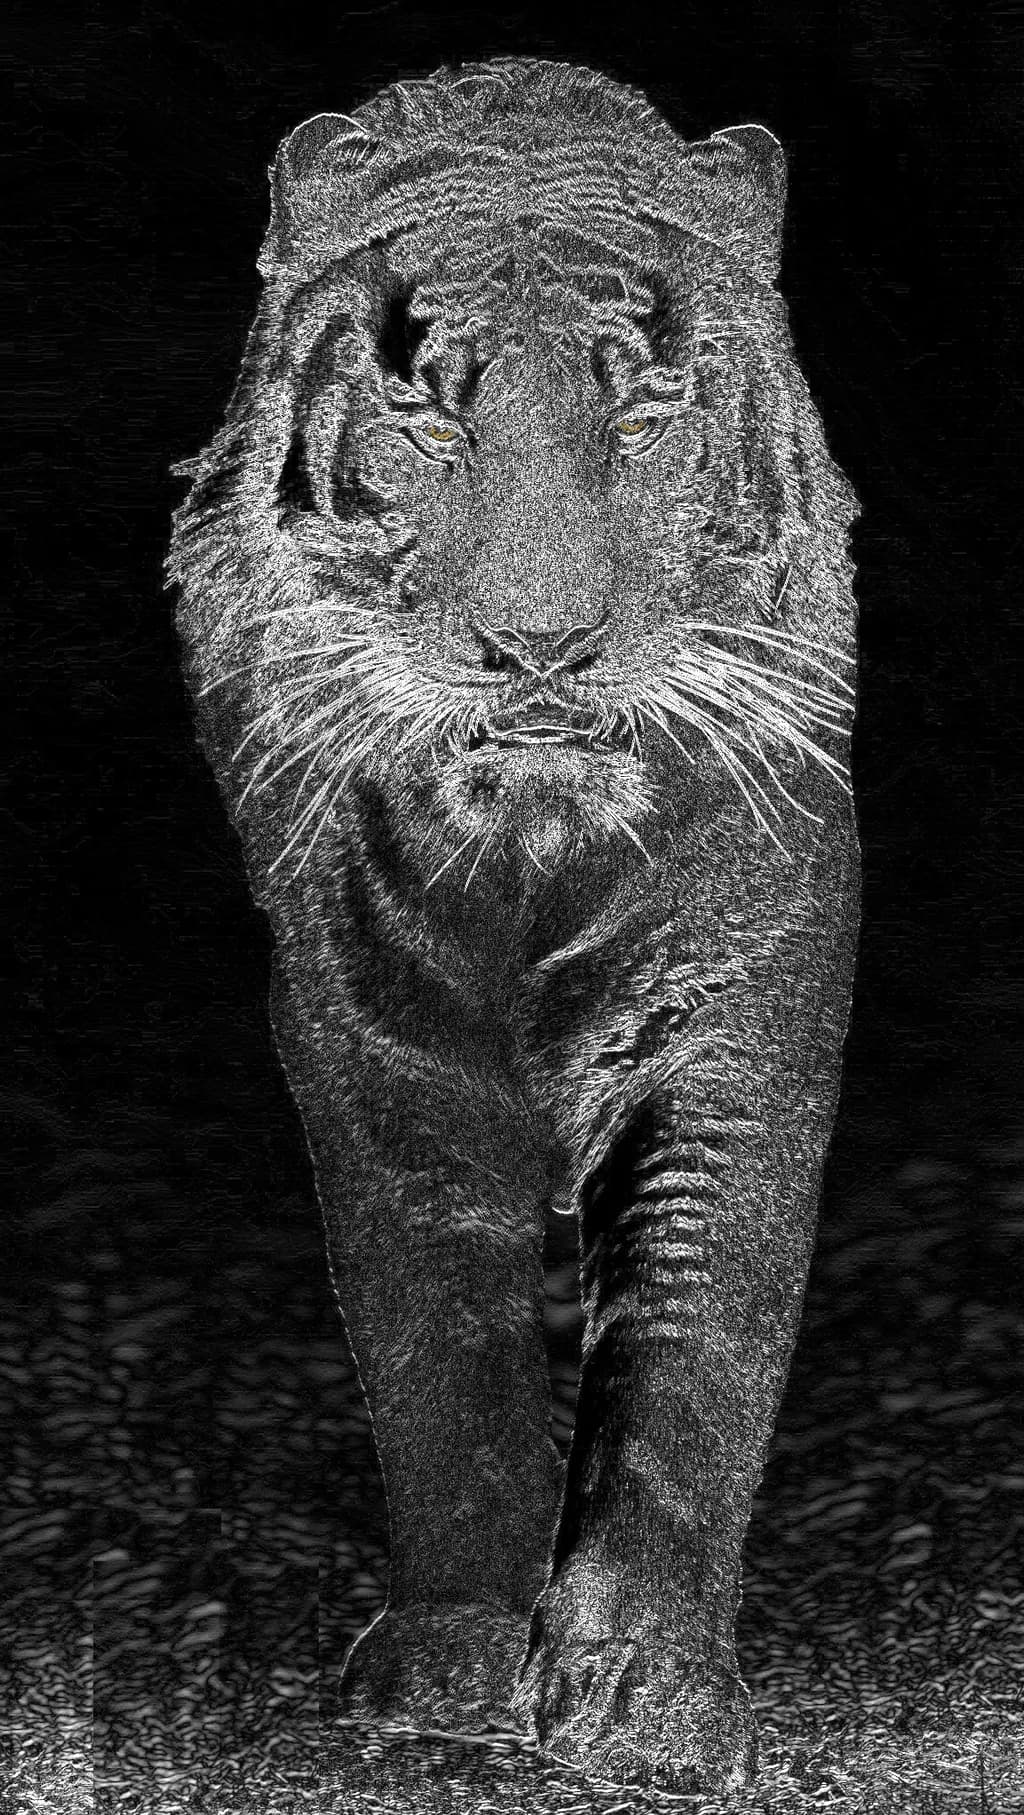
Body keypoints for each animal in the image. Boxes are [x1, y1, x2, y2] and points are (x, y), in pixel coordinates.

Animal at [166, 56, 861, 1796]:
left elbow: (696, 1329)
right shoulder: (370, 1020)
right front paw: (460, 1656)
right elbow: (439, 1341)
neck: (532, 855)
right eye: (432, 415)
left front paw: (645, 1689)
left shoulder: (737, 998)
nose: (540, 650)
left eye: (644, 414)